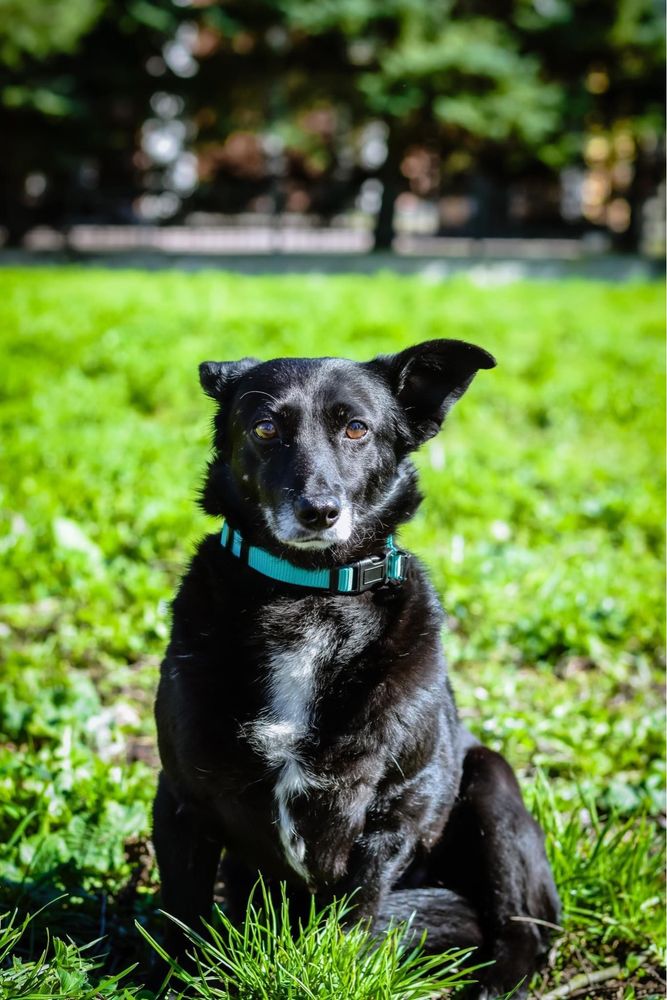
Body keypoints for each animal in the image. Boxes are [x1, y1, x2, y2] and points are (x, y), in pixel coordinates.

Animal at [154, 340, 560, 996]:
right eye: (265, 428)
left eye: (356, 429)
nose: (319, 510)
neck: (308, 594)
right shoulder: (182, 801)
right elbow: (181, 919)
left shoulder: (392, 818)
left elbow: (348, 923)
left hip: (493, 788)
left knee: (524, 926)